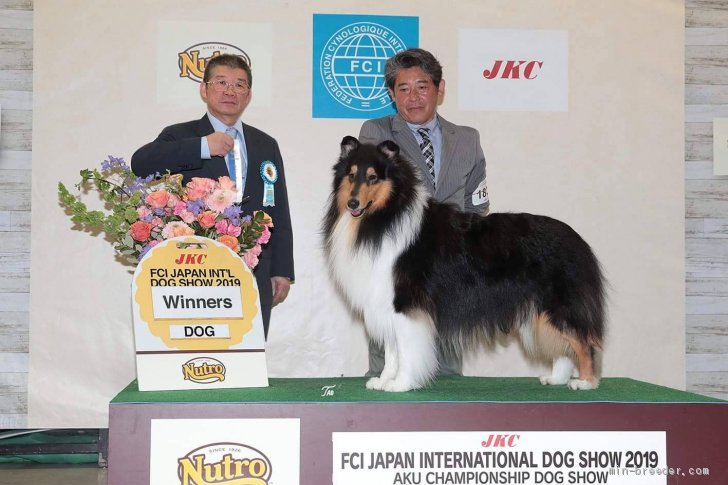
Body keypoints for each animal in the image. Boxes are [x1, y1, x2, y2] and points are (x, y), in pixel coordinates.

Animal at [323, 136, 606, 392]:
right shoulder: (385, 301)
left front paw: (401, 384)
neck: (384, 216)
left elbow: (406, 349)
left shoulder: (405, 303)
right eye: (351, 175)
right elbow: (392, 350)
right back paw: (557, 379)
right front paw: (383, 381)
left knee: (582, 342)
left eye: (373, 177)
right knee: (564, 346)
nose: (353, 203)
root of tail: (578, 241)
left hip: (560, 304)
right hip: (543, 310)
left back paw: (586, 382)